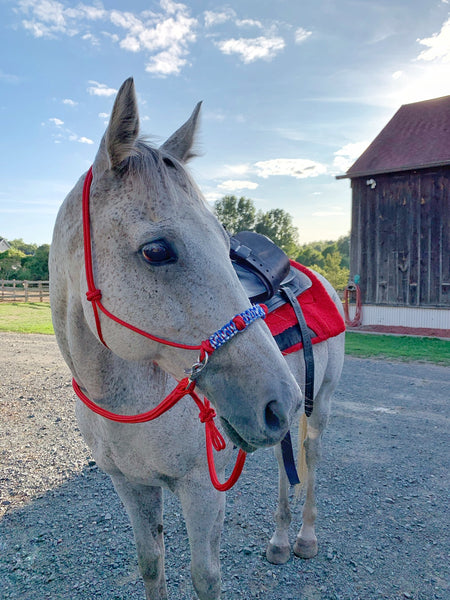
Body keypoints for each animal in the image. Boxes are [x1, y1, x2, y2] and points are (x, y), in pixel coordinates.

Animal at [49, 79, 344, 600]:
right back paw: (279, 541)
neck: (128, 399)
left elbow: (205, 576)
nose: (279, 399)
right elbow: (151, 564)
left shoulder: (201, 490)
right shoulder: (132, 487)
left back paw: (305, 538)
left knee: (310, 459)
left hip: (318, 405)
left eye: (224, 243)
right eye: (156, 250)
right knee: (286, 464)